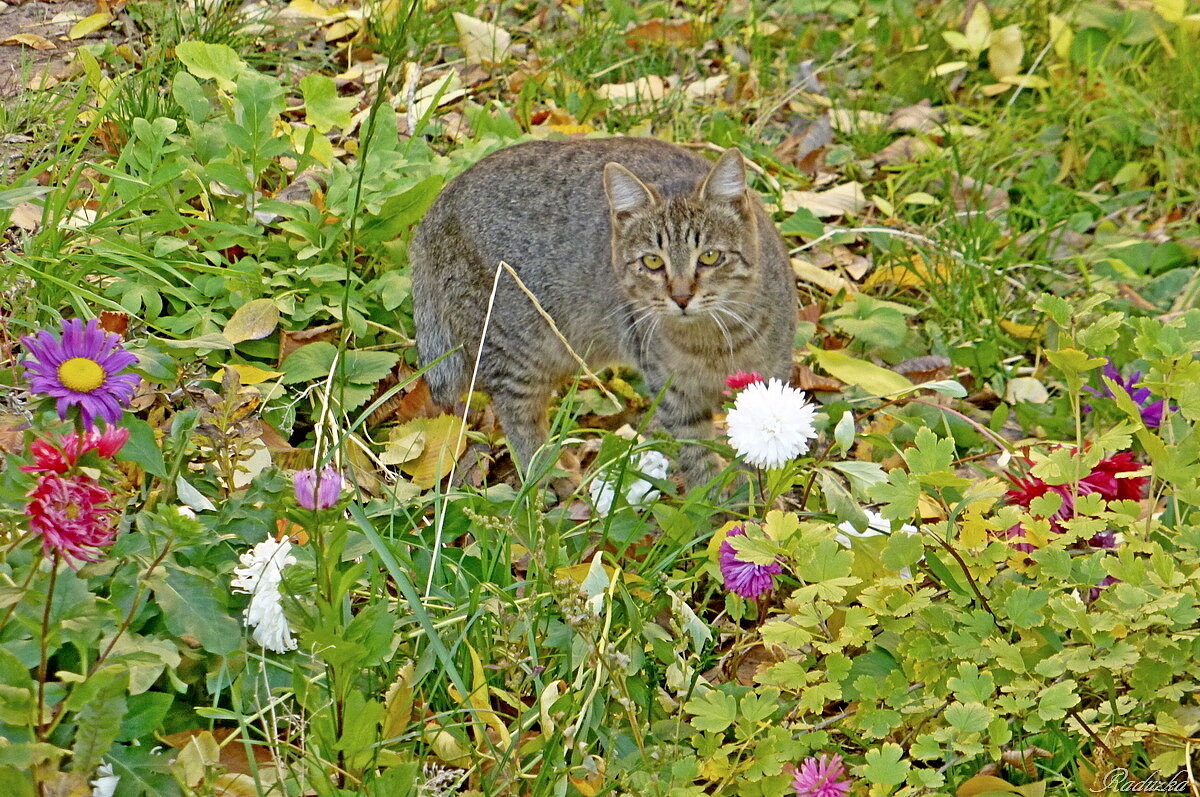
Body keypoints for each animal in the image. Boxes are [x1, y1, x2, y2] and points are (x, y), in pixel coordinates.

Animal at [412, 136, 796, 482]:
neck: (714, 342)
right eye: (652, 262)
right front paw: (715, 504)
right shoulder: (674, 394)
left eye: (710, 256)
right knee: (520, 423)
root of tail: (440, 200)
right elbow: (698, 456)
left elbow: (756, 451)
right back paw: (552, 482)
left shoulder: (767, 382)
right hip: (517, 354)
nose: (682, 297)